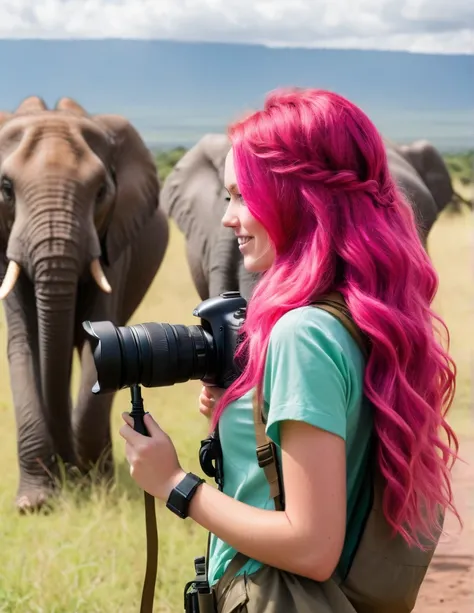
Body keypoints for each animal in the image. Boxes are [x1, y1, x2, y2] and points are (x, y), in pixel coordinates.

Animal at [0, 95, 169, 512]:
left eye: (101, 191)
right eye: (6, 188)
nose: (67, 470)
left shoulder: (114, 239)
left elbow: (102, 342)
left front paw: (96, 486)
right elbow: (23, 344)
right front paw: (34, 504)